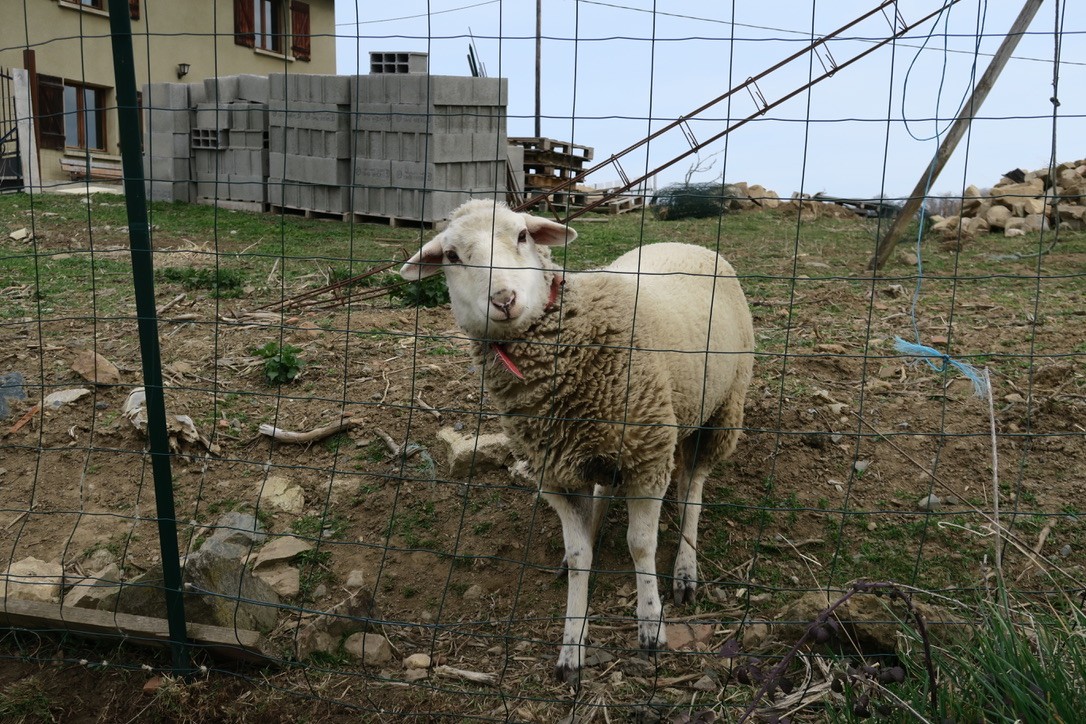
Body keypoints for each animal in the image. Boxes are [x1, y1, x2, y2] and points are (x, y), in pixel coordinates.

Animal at [401, 199, 755, 686]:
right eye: (452, 256)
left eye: (522, 236)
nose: (504, 300)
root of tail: (686, 241)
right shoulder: (557, 472)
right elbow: (579, 551)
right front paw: (572, 643)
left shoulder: (648, 454)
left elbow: (640, 544)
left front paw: (651, 624)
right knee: (608, 486)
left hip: (721, 408)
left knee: (693, 489)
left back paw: (686, 566)